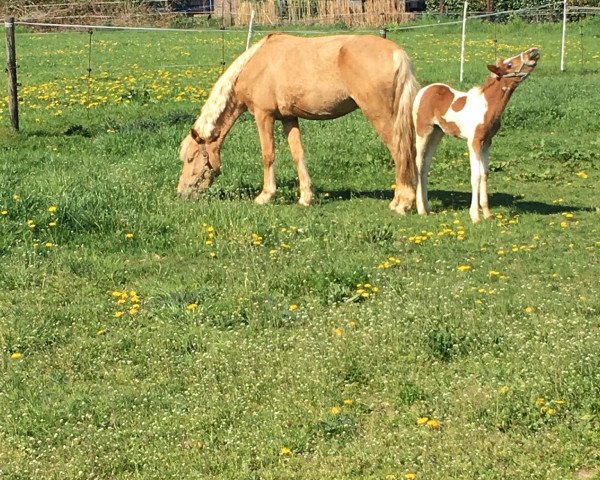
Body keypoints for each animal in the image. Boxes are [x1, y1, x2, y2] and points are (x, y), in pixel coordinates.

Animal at [176, 33, 420, 214]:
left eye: (191, 159)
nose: (181, 192)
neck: (256, 65)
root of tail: (396, 53)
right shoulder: (288, 118)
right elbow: (298, 154)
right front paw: (306, 197)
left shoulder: (263, 116)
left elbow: (268, 155)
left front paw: (265, 196)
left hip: (380, 115)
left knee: (400, 153)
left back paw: (402, 202)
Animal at [412, 47, 540, 223]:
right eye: (509, 64)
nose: (533, 51)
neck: (486, 105)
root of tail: (423, 91)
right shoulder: (473, 142)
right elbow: (476, 176)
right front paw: (475, 215)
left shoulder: (487, 143)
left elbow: (485, 174)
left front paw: (487, 213)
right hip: (423, 132)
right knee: (418, 163)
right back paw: (421, 209)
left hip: (437, 134)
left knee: (426, 165)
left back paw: (427, 207)